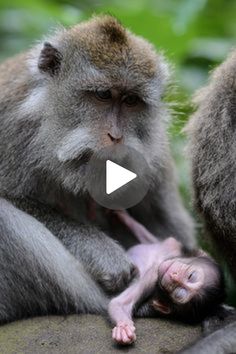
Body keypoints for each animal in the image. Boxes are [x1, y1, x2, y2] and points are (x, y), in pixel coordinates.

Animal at [109, 212, 225, 344]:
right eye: (191, 276)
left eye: (179, 293)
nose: (175, 277)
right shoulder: (174, 247)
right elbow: (154, 240)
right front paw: (122, 216)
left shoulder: (153, 276)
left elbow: (120, 303)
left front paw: (123, 326)